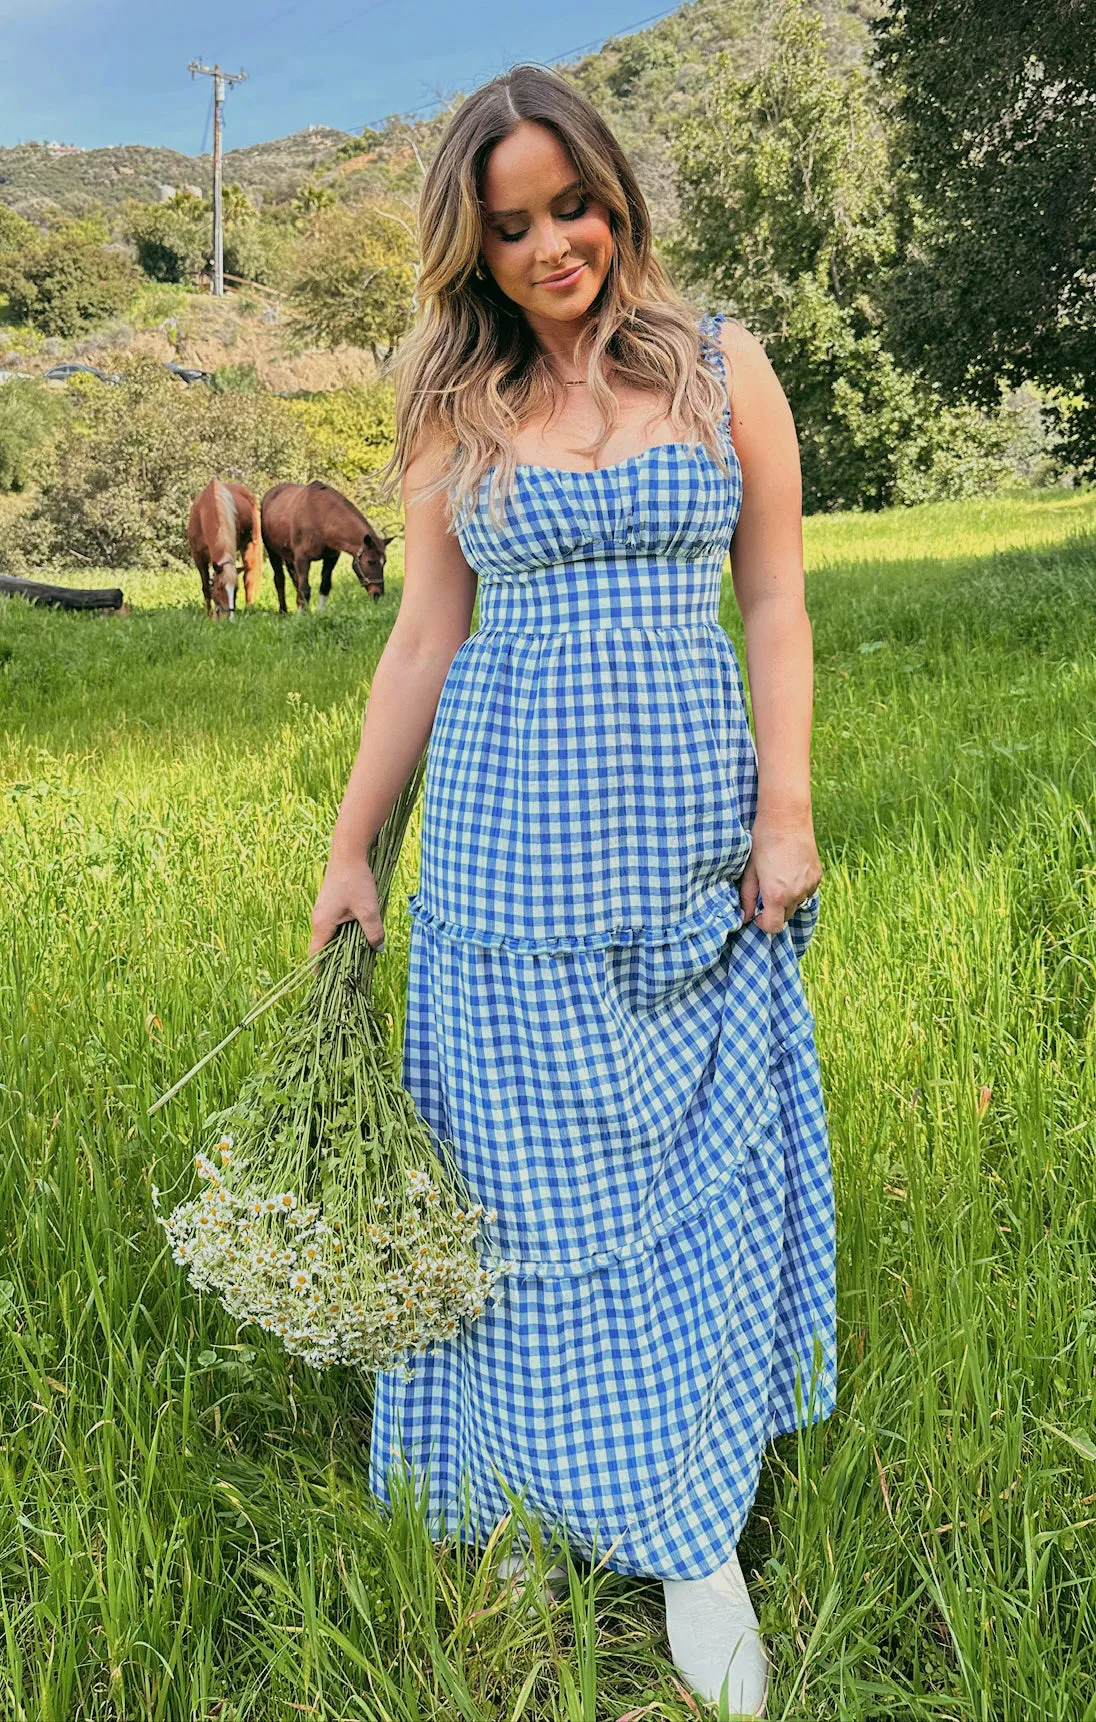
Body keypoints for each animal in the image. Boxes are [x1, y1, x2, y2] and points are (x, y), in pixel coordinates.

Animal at [188, 478, 263, 619]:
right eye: (219, 588)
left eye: (236, 589)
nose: (228, 618)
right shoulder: (198, 556)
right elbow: (206, 586)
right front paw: (209, 614)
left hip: (250, 545)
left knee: (249, 578)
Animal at [258, 482, 391, 616]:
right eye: (371, 561)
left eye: (384, 562)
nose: (378, 594)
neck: (319, 518)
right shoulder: (302, 559)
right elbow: (304, 588)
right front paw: (299, 616)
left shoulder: (331, 558)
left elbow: (324, 585)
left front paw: (319, 613)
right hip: (273, 553)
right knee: (280, 579)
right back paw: (283, 611)